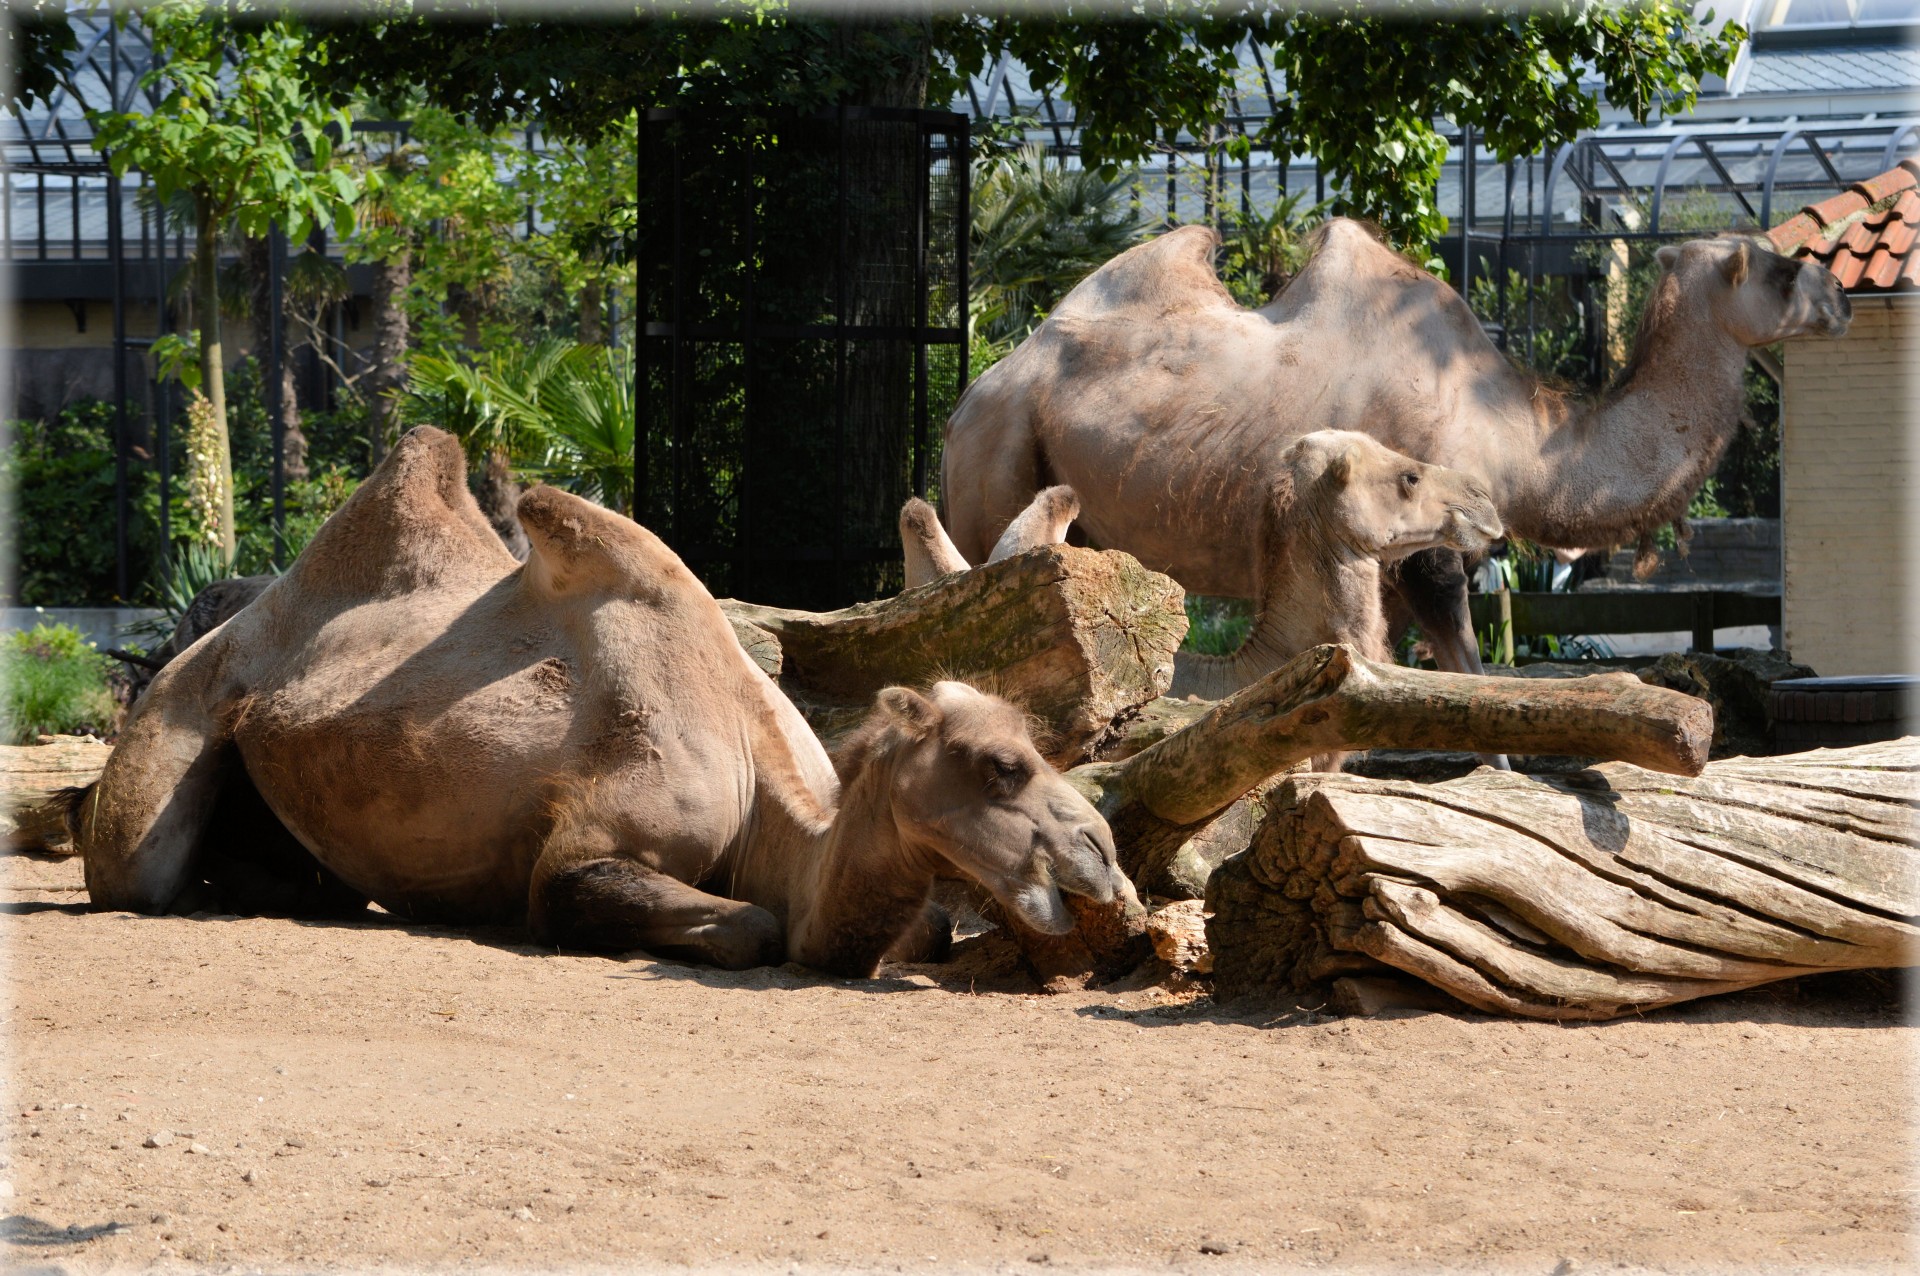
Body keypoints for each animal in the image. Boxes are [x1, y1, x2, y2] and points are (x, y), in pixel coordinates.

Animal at [74, 422, 1121, 970]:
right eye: (1000, 767)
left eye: (1042, 750)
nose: (1105, 855)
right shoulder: (587, 848)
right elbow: (752, 924)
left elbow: (926, 922)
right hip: (180, 714)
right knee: (136, 871)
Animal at [936, 218, 1850, 675]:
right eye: (1781, 270)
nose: (1842, 295)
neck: (1520, 444)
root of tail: (972, 395)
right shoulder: (1429, 552)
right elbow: (1474, 675)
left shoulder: (1396, 565)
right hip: (995, 463)